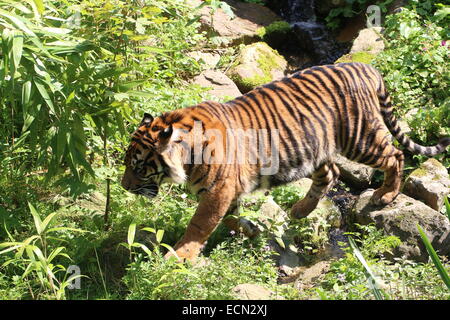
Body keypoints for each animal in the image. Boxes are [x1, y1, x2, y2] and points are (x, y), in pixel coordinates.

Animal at [119, 63, 450, 262]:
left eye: (138, 166)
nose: (123, 187)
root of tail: (365, 67)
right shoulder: (229, 190)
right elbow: (230, 218)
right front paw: (251, 230)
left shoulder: (218, 190)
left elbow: (200, 224)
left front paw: (179, 256)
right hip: (316, 148)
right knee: (330, 173)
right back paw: (300, 210)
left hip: (360, 138)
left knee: (395, 155)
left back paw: (387, 194)